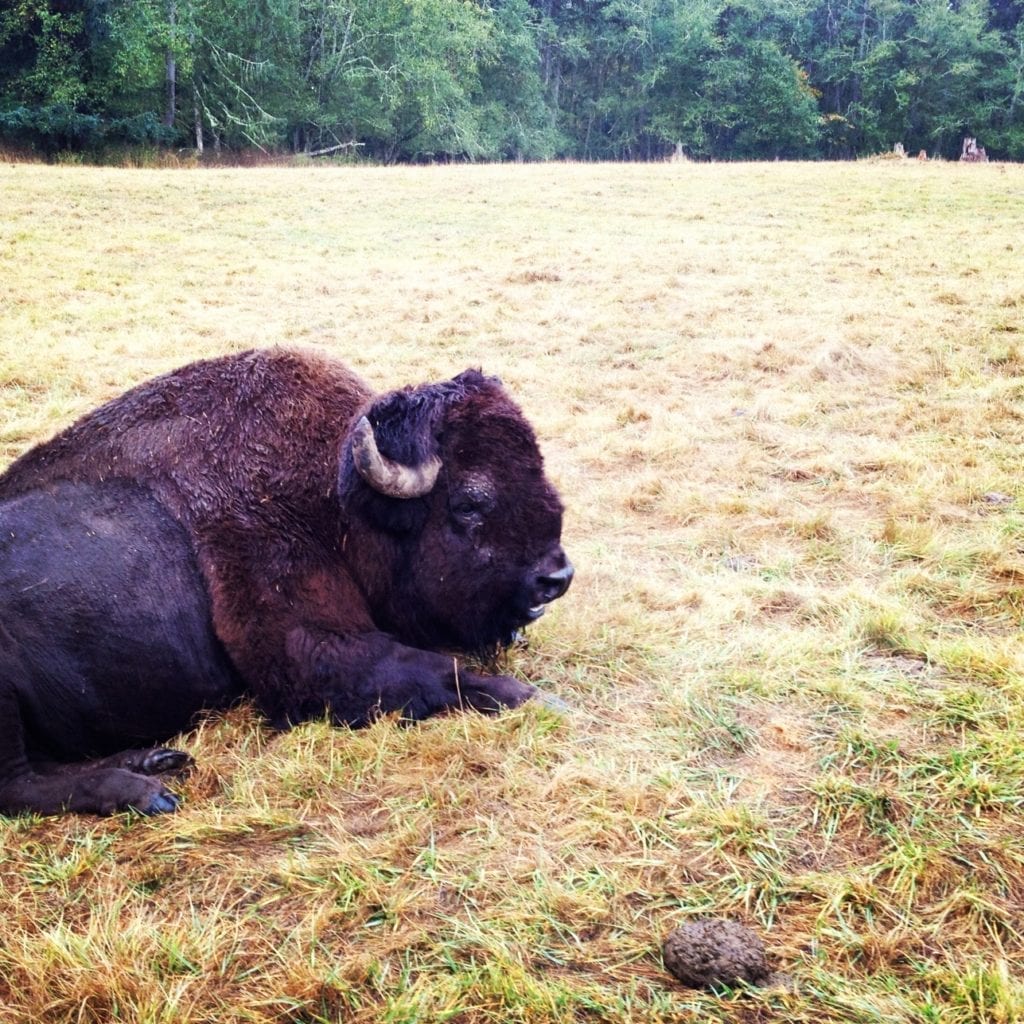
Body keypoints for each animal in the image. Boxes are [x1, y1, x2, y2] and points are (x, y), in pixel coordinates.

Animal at [0, 350, 573, 815]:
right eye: (470, 502)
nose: (557, 577)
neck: (334, 498)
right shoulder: (308, 651)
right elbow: (440, 673)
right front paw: (543, 699)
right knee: (17, 786)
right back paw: (144, 792)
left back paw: (153, 760)